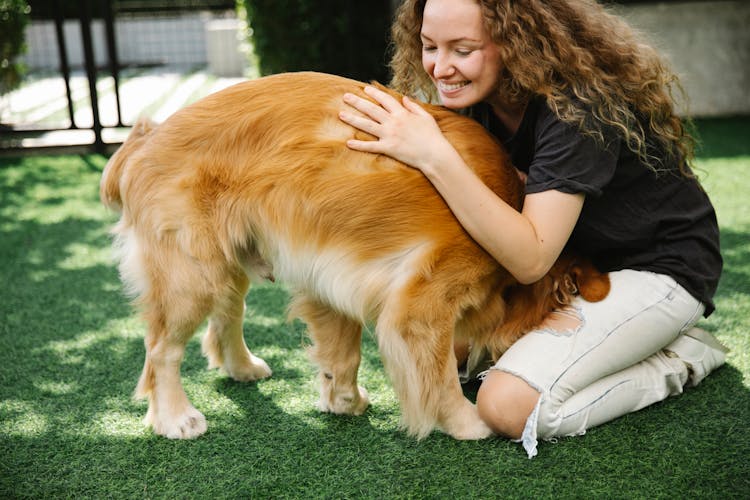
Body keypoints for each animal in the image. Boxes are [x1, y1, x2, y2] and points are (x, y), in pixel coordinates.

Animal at [101, 71, 612, 442]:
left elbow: (342, 352)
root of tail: (145, 137)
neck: (511, 202)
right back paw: (175, 417)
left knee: (227, 314)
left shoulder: (329, 276)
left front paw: (343, 400)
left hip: (226, 257)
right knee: (161, 351)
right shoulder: (421, 307)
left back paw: (242, 367)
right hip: (191, 274)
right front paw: (466, 423)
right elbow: (439, 376)